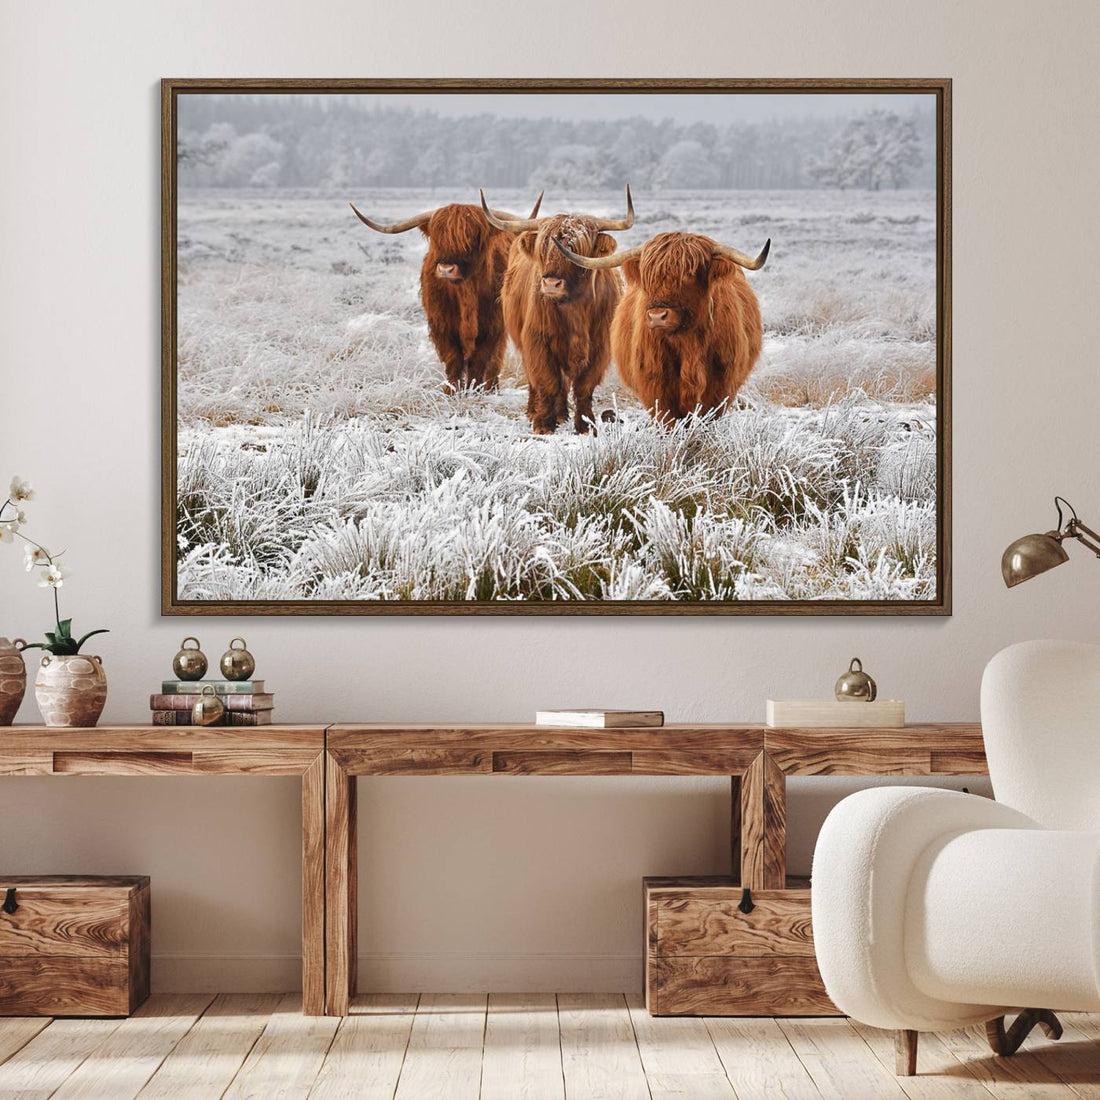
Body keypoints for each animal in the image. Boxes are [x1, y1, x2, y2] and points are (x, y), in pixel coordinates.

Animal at [349, 194, 542, 391]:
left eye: (471, 237)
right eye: (437, 238)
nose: (446, 269)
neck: (465, 293)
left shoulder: (492, 326)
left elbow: (479, 361)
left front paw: (473, 389)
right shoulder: (442, 326)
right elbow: (453, 361)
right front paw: (451, 391)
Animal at [479, 188, 634, 434]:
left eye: (577, 250)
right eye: (543, 249)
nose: (551, 283)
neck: (575, 310)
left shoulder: (600, 347)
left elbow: (583, 387)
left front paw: (586, 425)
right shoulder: (537, 341)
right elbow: (547, 381)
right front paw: (543, 424)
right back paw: (537, 411)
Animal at [554, 230, 770, 421]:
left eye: (689, 273)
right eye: (648, 276)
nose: (657, 316)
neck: (688, 344)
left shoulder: (720, 386)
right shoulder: (656, 387)